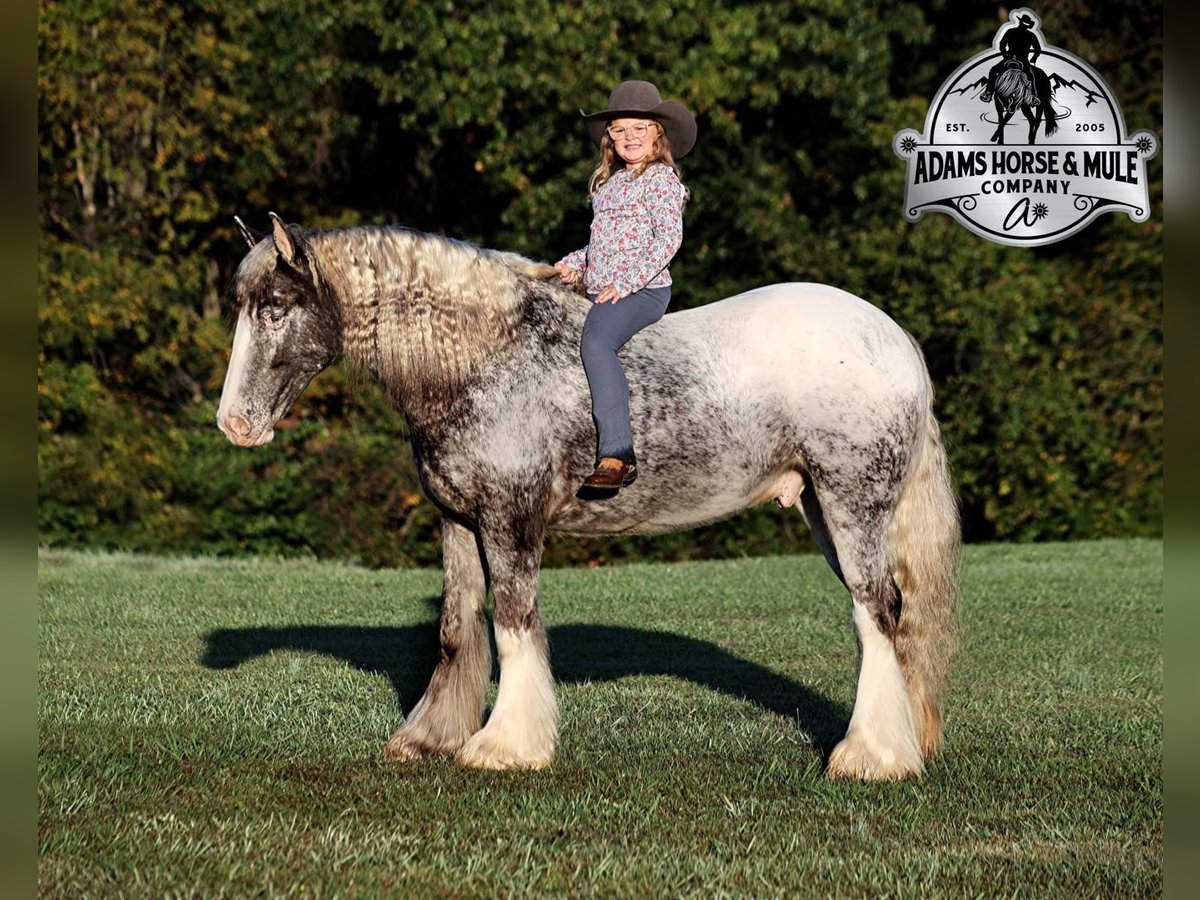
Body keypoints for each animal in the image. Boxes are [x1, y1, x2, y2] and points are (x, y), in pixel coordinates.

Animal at [216, 213, 960, 782]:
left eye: (275, 309)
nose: (235, 424)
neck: (486, 358)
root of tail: (892, 337)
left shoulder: (510, 520)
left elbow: (514, 623)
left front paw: (505, 746)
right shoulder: (457, 521)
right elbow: (457, 628)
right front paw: (429, 739)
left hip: (851, 505)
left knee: (877, 611)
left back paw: (871, 757)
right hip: (820, 510)